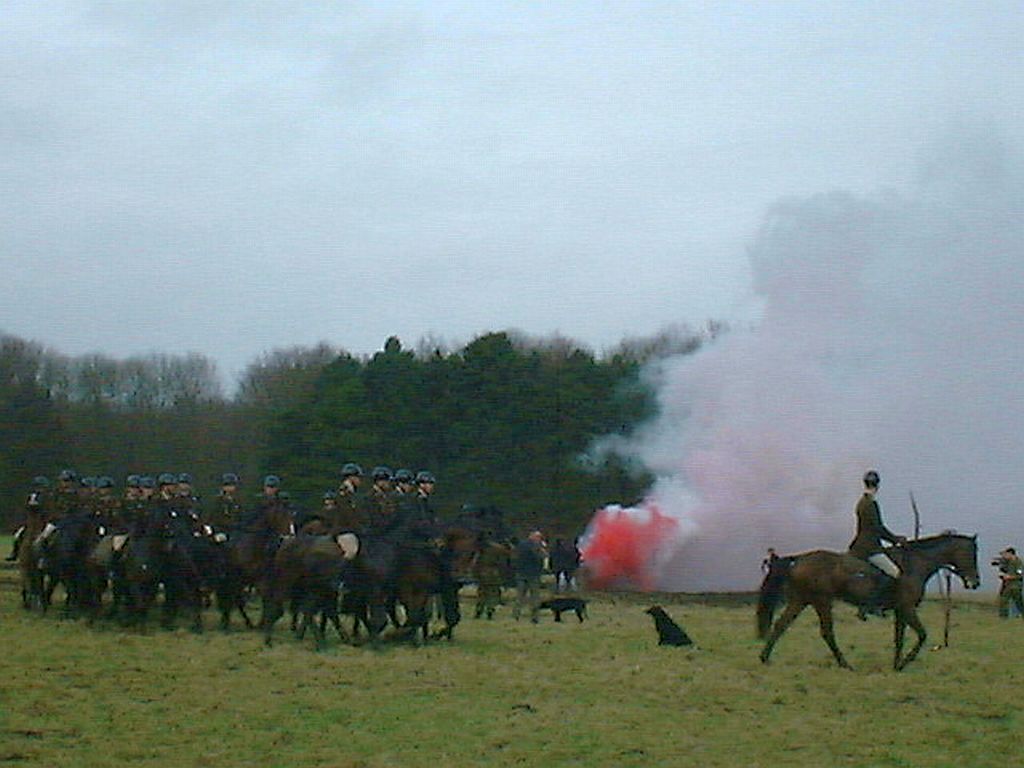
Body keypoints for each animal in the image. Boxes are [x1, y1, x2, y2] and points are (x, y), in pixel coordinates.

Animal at [757, 532, 978, 671]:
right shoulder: (907, 608)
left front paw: (896, 665)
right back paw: (845, 664)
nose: (975, 582)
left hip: (801, 600)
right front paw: (905, 663)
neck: (916, 564)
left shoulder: (900, 610)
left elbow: (899, 638)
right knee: (827, 632)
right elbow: (922, 635)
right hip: (822, 601)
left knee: (781, 625)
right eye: (972, 554)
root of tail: (800, 559)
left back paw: (764, 658)